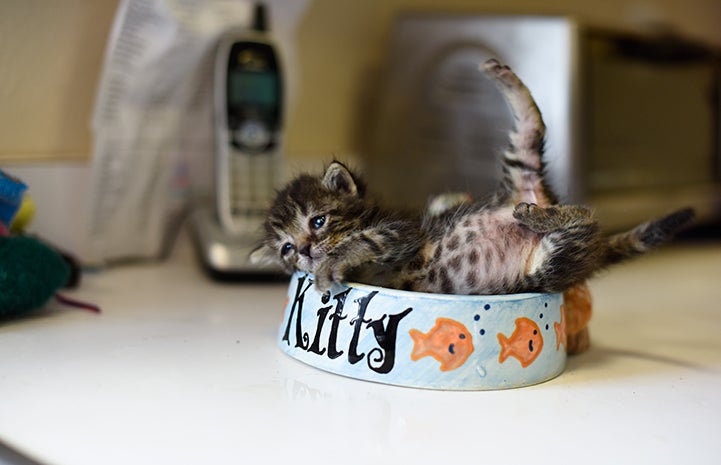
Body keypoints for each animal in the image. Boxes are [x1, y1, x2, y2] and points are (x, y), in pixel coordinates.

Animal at [250, 59, 696, 294]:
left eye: (318, 221)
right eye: (286, 249)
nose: (305, 250)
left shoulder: (400, 231)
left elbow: (364, 240)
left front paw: (332, 262)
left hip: (546, 250)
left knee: (584, 211)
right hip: (544, 247)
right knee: (536, 138)